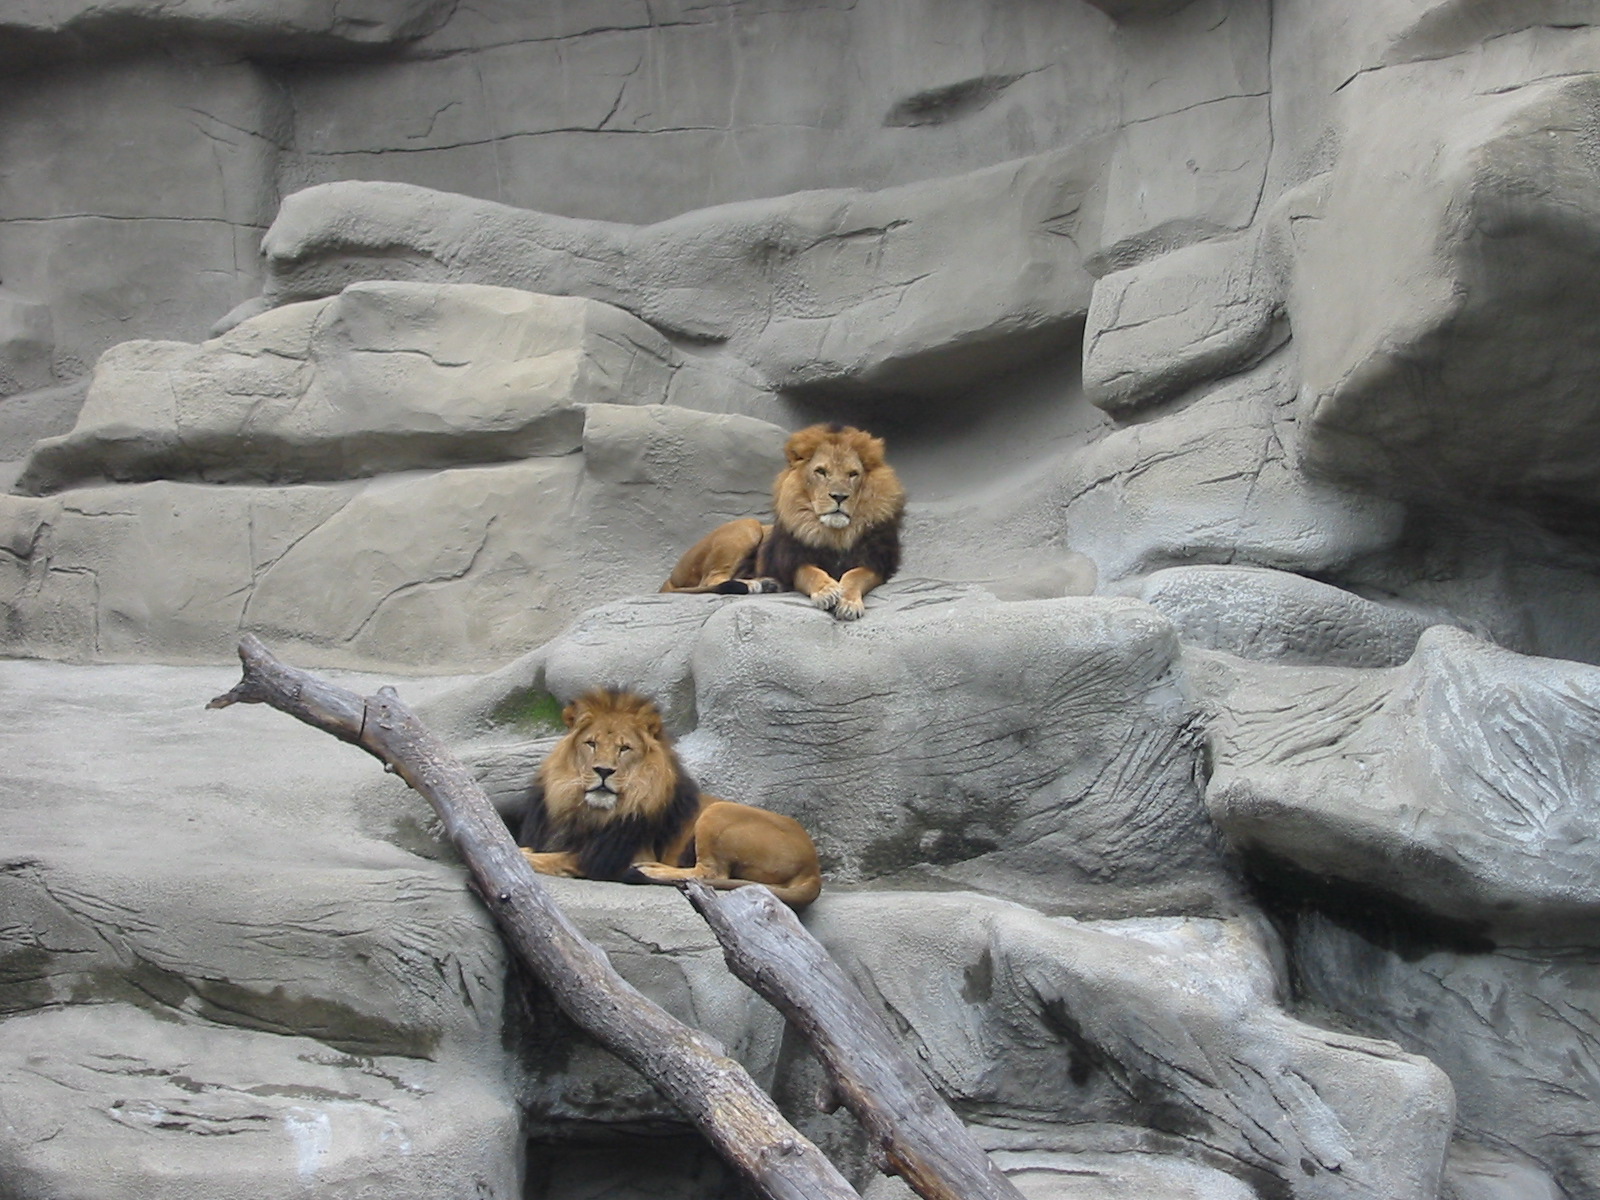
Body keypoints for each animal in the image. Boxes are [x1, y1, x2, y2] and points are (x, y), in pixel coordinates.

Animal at [516, 688, 823, 909]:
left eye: (624, 749)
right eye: (591, 743)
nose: (603, 771)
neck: (591, 811)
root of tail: (814, 867)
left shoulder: (615, 853)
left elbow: (554, 858)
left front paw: (525, 855)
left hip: (718, 812)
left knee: (710, 874)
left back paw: (649, 871)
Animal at [661, 422, 905, 621]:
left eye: (853, 474)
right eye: (821, 472)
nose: (839, 496)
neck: (834, 533)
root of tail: (670, 578)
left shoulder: (877, 563)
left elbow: (854, 576)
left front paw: (848, 603)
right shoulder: (792, 562)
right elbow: (811, 573)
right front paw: (826, 591)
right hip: (748, 526)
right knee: (711, 580)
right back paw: (757, 584)